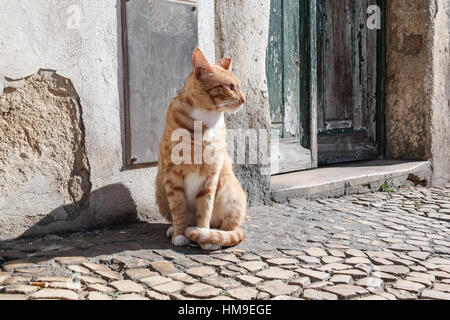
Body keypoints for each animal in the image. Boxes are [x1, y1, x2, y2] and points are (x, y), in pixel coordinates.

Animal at [154, 47, 246, 251]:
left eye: (239, 86)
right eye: (230, 87)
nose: (244, 100)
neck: (205, 120)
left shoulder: (211, 175)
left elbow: (205, 209)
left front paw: (204, 237)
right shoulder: (172, 173)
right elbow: (178, 208)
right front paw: (180, 234)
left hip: (231, 192)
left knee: (227, 228)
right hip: (160, 186)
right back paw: (175, 229)